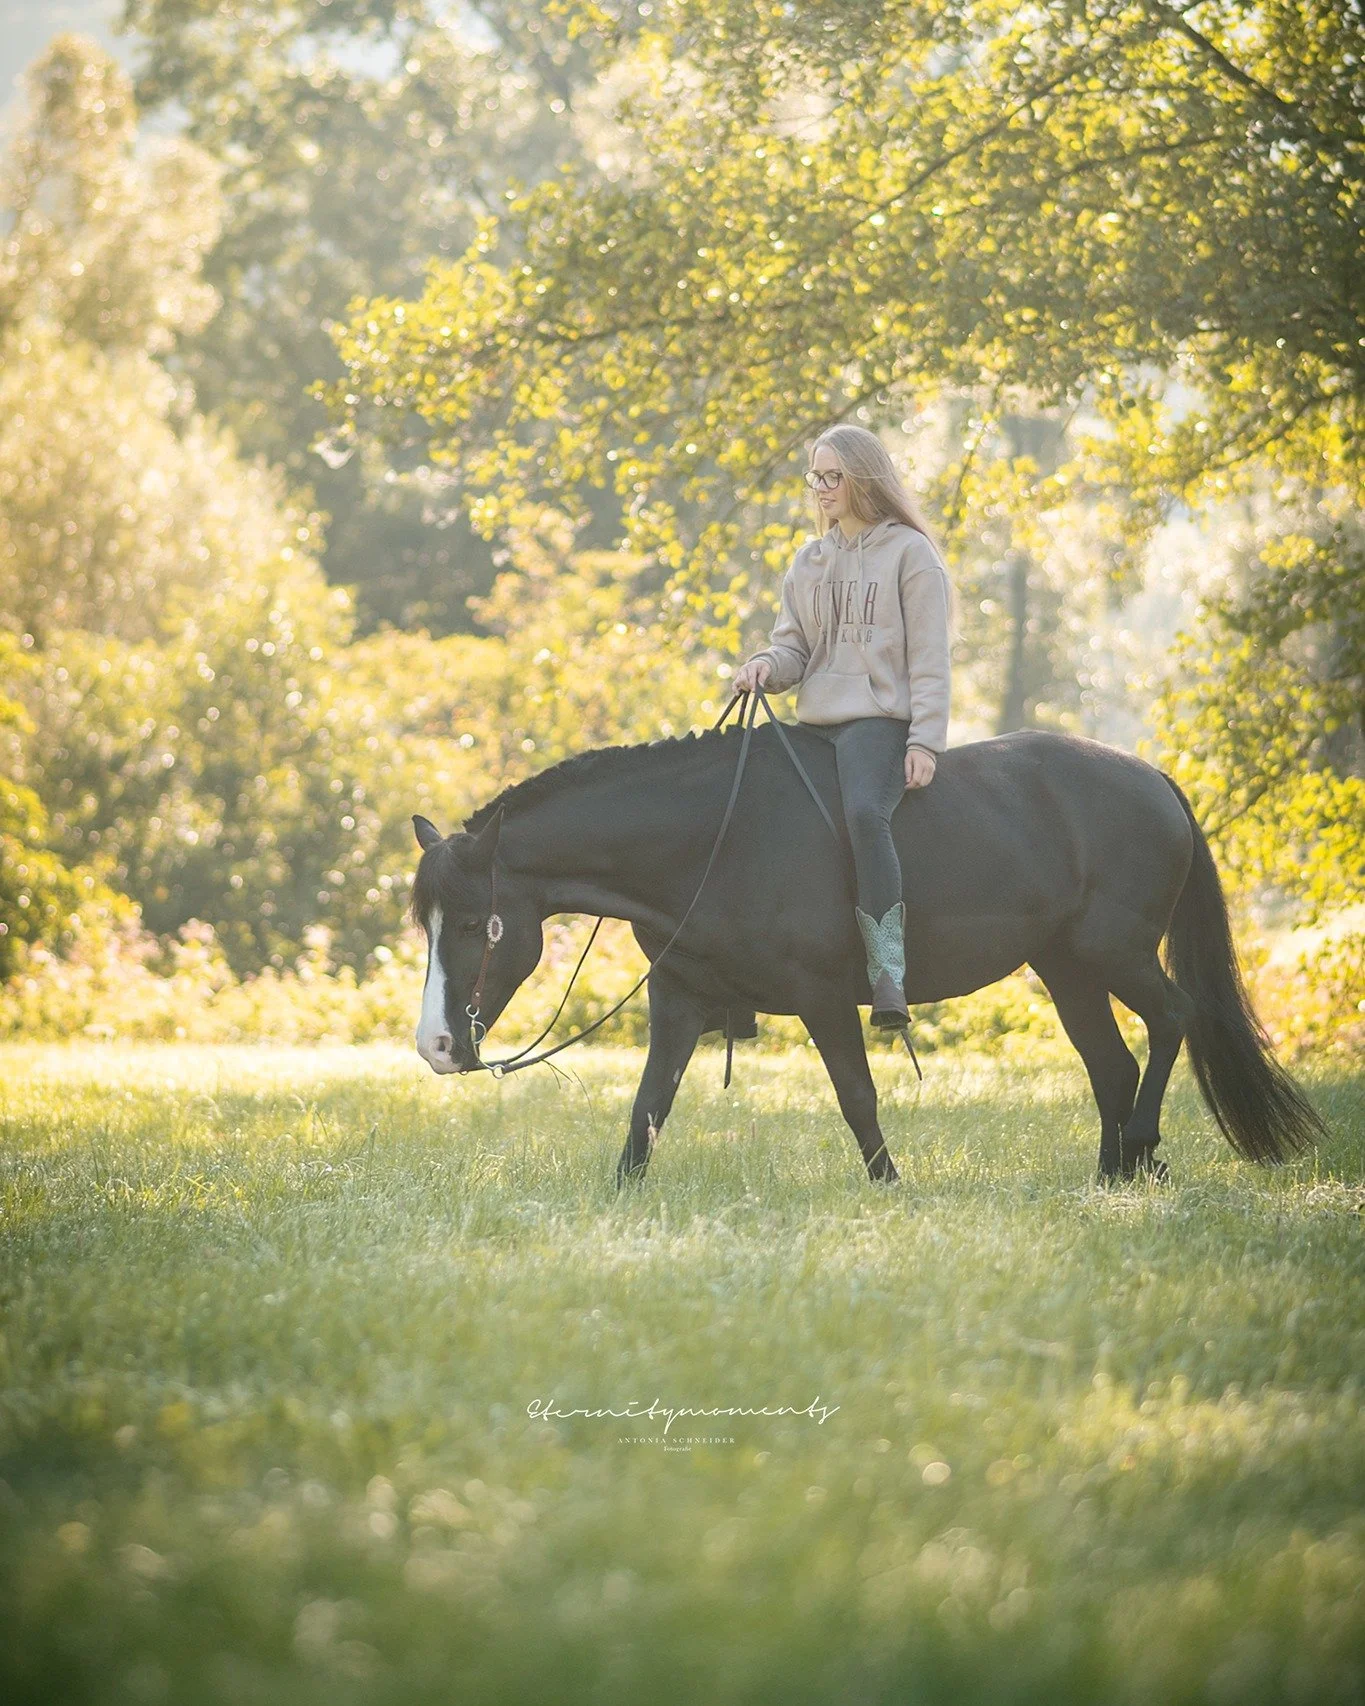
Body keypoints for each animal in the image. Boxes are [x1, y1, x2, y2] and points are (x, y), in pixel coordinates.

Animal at [408, 722, 1325, 1188]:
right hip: (1066, 969)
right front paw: (622, 1195)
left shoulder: (821, 999)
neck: (711, 842)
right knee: (1110, 1063)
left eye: (476, 924)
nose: (438, 1046)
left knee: (1172, 1020)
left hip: (1117, 952)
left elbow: (857, 1097)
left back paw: (1137, 1146)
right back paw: (1113, 1174)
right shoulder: (678, 1002)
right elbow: (647, 1109)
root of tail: (1155, 780)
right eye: (429, 922)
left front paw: (889, 1185)